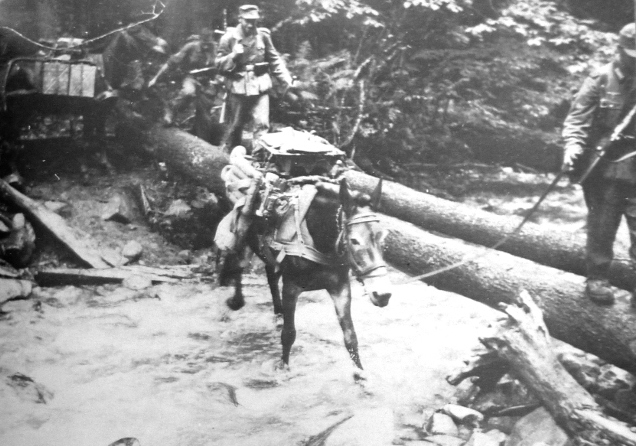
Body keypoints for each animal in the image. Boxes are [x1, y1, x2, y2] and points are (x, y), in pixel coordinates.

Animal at [222, 178, 392, 380]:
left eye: (383, 237)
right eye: (354, 240)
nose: (383, 294)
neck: (320, 240)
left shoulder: (341, 288)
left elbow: (350, 336)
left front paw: (360, 374)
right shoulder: (291, 288)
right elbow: (288, 334)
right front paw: (283, 367)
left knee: (271, 276)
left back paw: (277, 314)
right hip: (242, 238)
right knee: (236, 265)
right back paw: (236, 301)